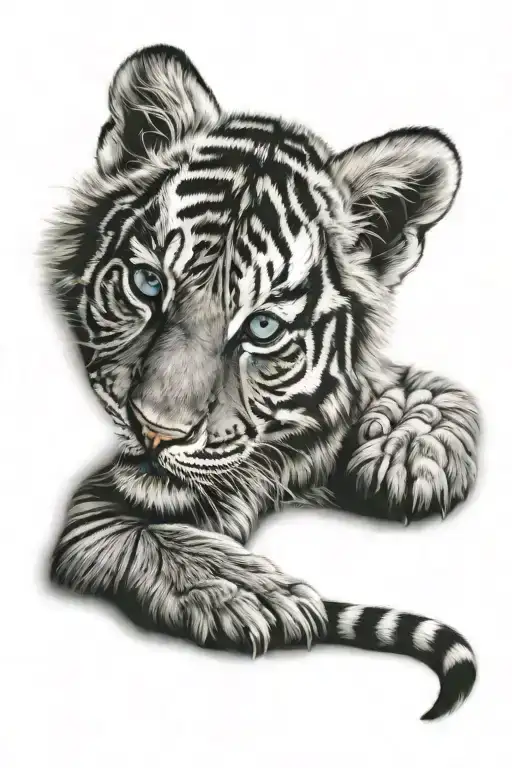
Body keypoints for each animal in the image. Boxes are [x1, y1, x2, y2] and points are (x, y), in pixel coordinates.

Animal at [43, 45, 480, 721]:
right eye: (149, 284)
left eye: (264, 326)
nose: (155, 431)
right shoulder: (99, 513)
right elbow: (131, 527)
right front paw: (242, 589)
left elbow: (431, 388)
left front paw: (411, 456)